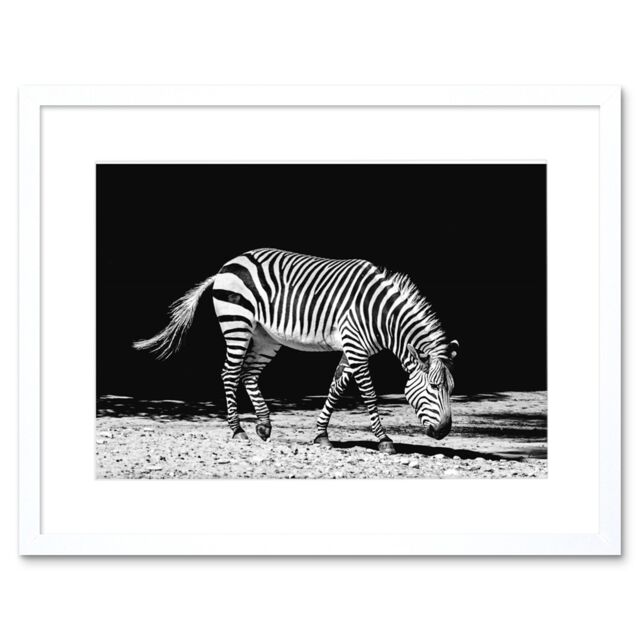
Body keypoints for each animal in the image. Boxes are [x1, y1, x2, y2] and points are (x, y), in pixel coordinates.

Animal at [133, 248, 459, 454]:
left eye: (452, 389)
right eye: (433, 387)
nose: (444, 432)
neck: (381, 315)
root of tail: (228, 264)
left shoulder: (352, 348)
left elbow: (336, 388)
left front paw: (321, 434)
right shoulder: (356, 347)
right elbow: (367, 393)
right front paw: (384, 439)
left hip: (265, 335)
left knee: (249, 375)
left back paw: (263, 426)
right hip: (237, 323)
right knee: (229, 372)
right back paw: (237, 429)